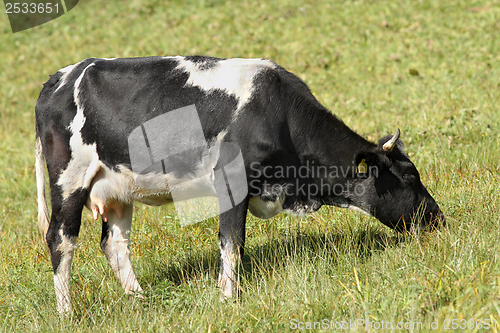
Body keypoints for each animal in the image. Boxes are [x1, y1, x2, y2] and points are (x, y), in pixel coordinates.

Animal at [34, 55, 446, 312]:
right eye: (409, 175)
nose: (438, 217)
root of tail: (58, 79)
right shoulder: (231, 181)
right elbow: (232, 241)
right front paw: (228, 297)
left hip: (116, 188)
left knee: (115, 243)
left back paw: (140, 299)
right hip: (69, 180)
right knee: (61, 240)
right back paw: (67, 312)